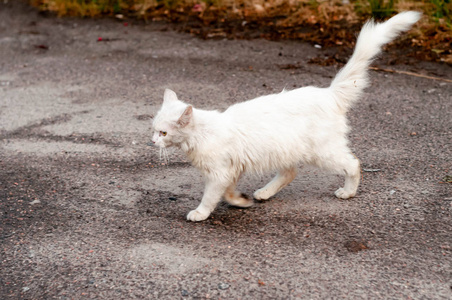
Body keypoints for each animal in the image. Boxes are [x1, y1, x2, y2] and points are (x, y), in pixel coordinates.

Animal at [151, 11, 420, 221]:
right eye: (153, 129)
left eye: (163, 132)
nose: (152, 142)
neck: (202, 134)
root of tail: (328, 93)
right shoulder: (231, 169)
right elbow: (228, 192)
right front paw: (241, 201)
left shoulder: (219, 172)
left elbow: (210, 196)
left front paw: (200, 213)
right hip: (284, 148)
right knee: (289, 173)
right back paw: (264, 193)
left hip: (322, 152)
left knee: (352, 163)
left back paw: (348, 192)